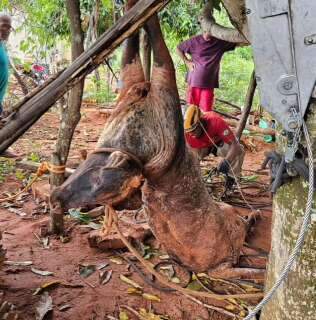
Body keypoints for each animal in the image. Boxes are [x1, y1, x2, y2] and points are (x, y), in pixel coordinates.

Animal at [50, 5, 262, 280]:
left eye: (99, 181)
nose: (56, 197)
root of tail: (143, 90)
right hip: (151, 97)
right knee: (156, 60)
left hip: (144, 95)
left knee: (147, 61)